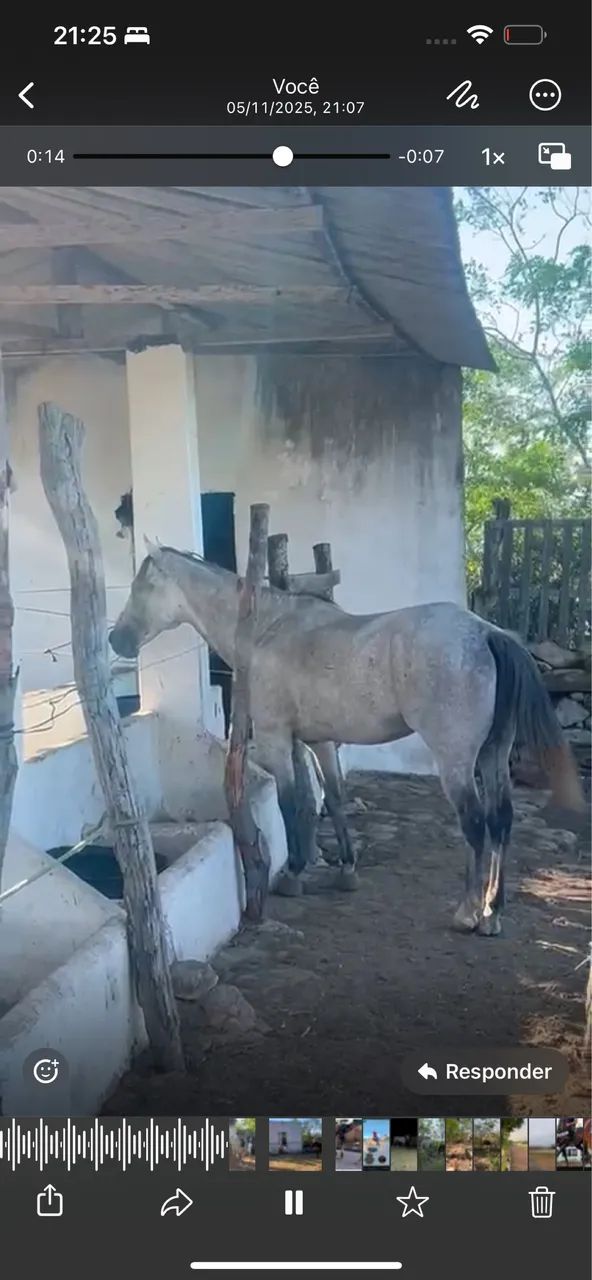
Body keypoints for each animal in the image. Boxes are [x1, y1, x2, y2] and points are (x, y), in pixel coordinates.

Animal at [109, 544, 584, 938]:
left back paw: (469, 912)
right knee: (501, 820)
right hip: (492, 755)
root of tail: (487, 633)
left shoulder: (277, 740)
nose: (117, 639)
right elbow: (332, 798)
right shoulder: (318, 742)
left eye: (143, 584)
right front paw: (346, 870)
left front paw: (294, 874)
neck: (266, 630)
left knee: (476, 824)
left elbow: (292, 803)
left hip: (456, 763)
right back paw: (492, 910)